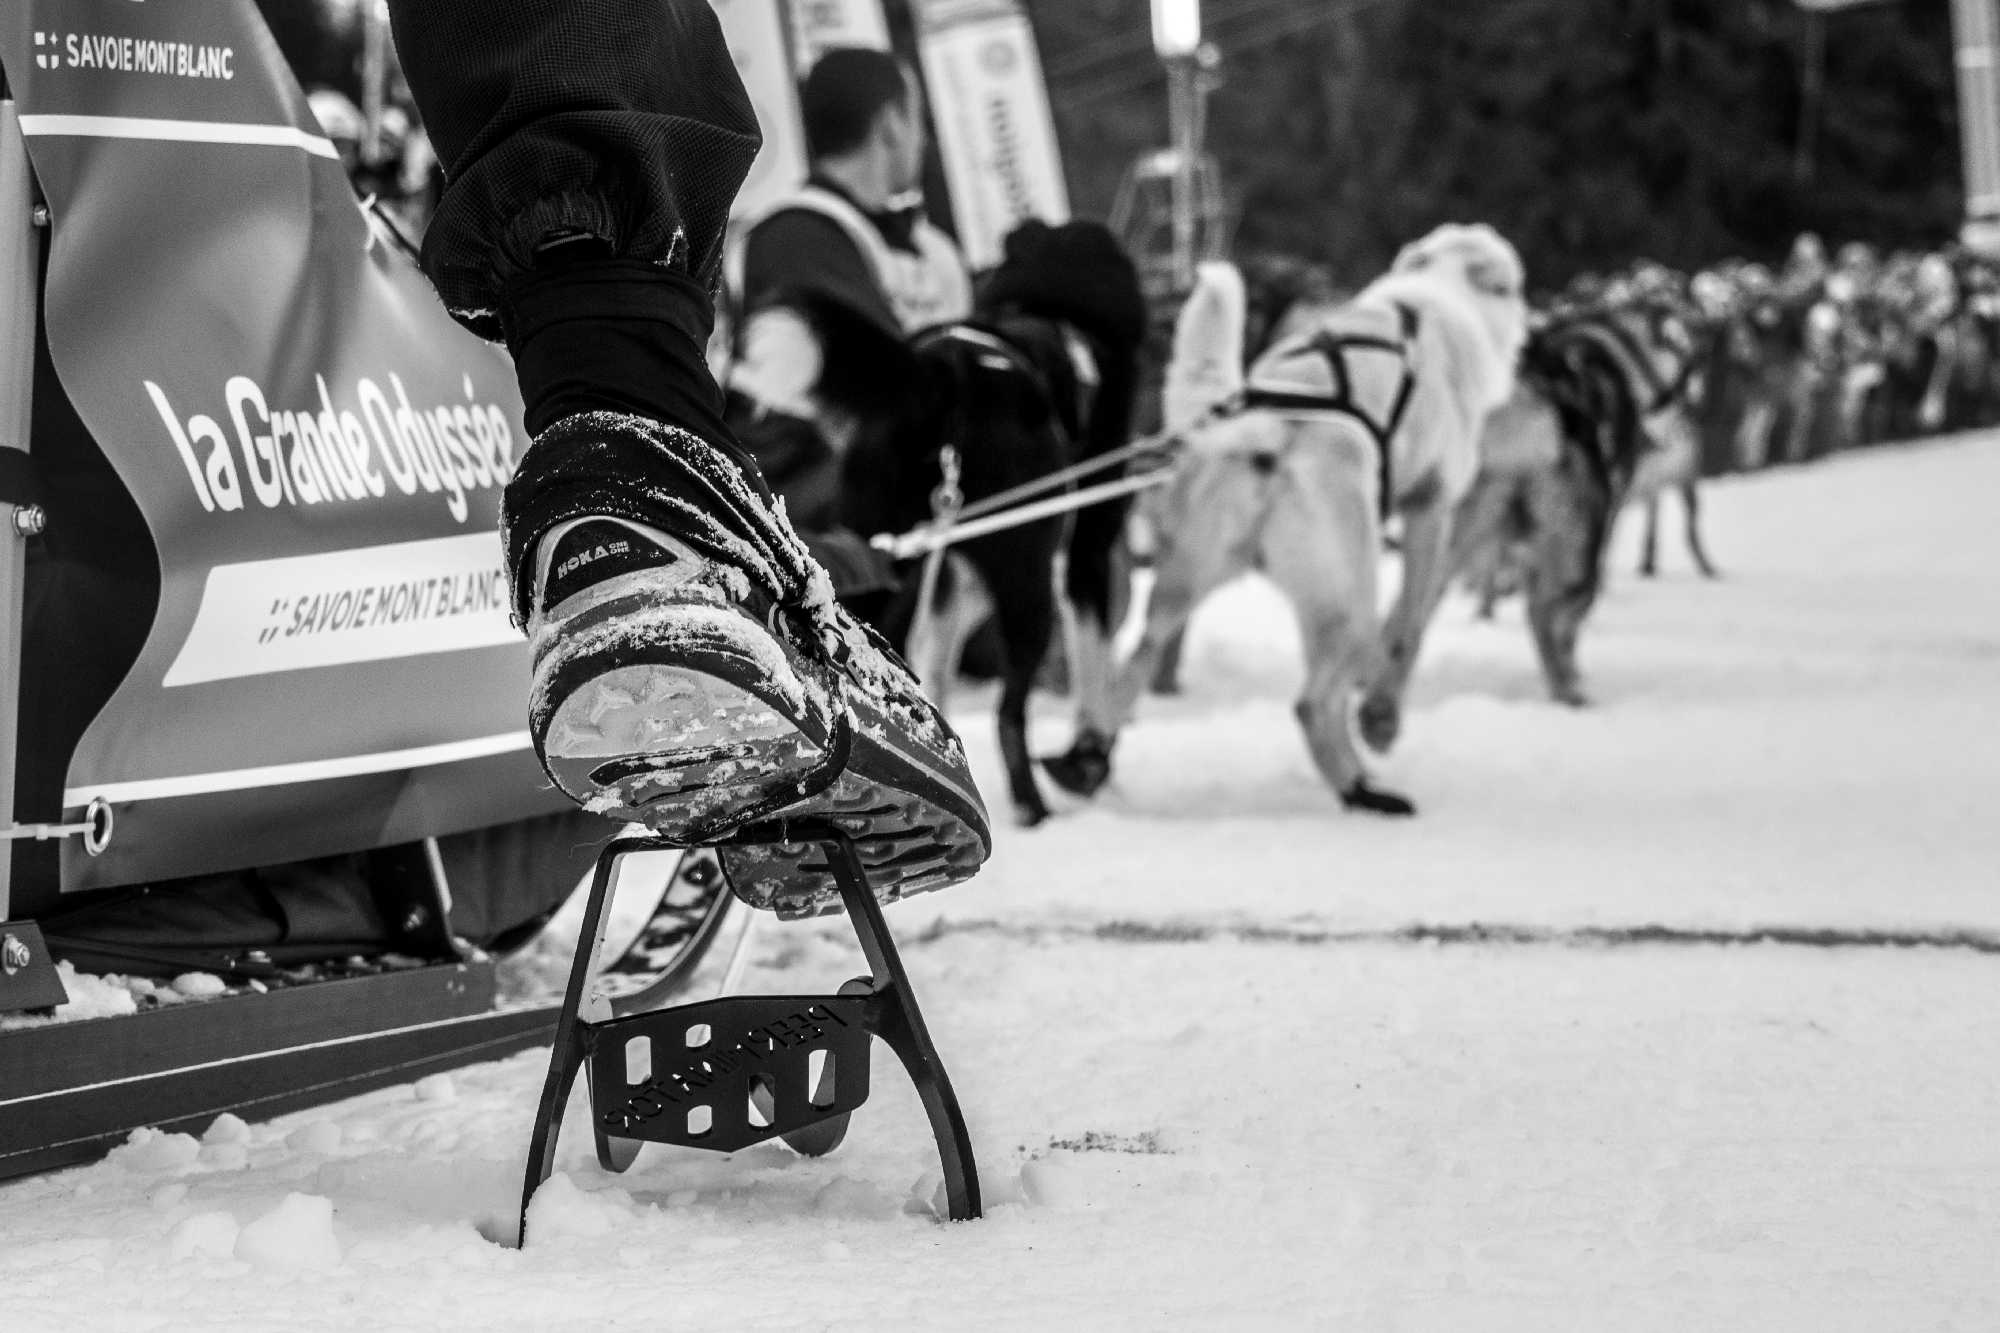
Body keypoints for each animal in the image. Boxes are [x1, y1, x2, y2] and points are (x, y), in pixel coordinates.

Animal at [1088, 226, 1520, 808]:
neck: (1431, 296)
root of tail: (1273, 427)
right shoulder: (1431, 510)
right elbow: (1405, 630)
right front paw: (1380, 719)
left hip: (1188, 583)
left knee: (1138, 659)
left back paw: (1083, 766)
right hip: (1350, 602)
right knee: (1313, 702)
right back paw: (1361, 790)